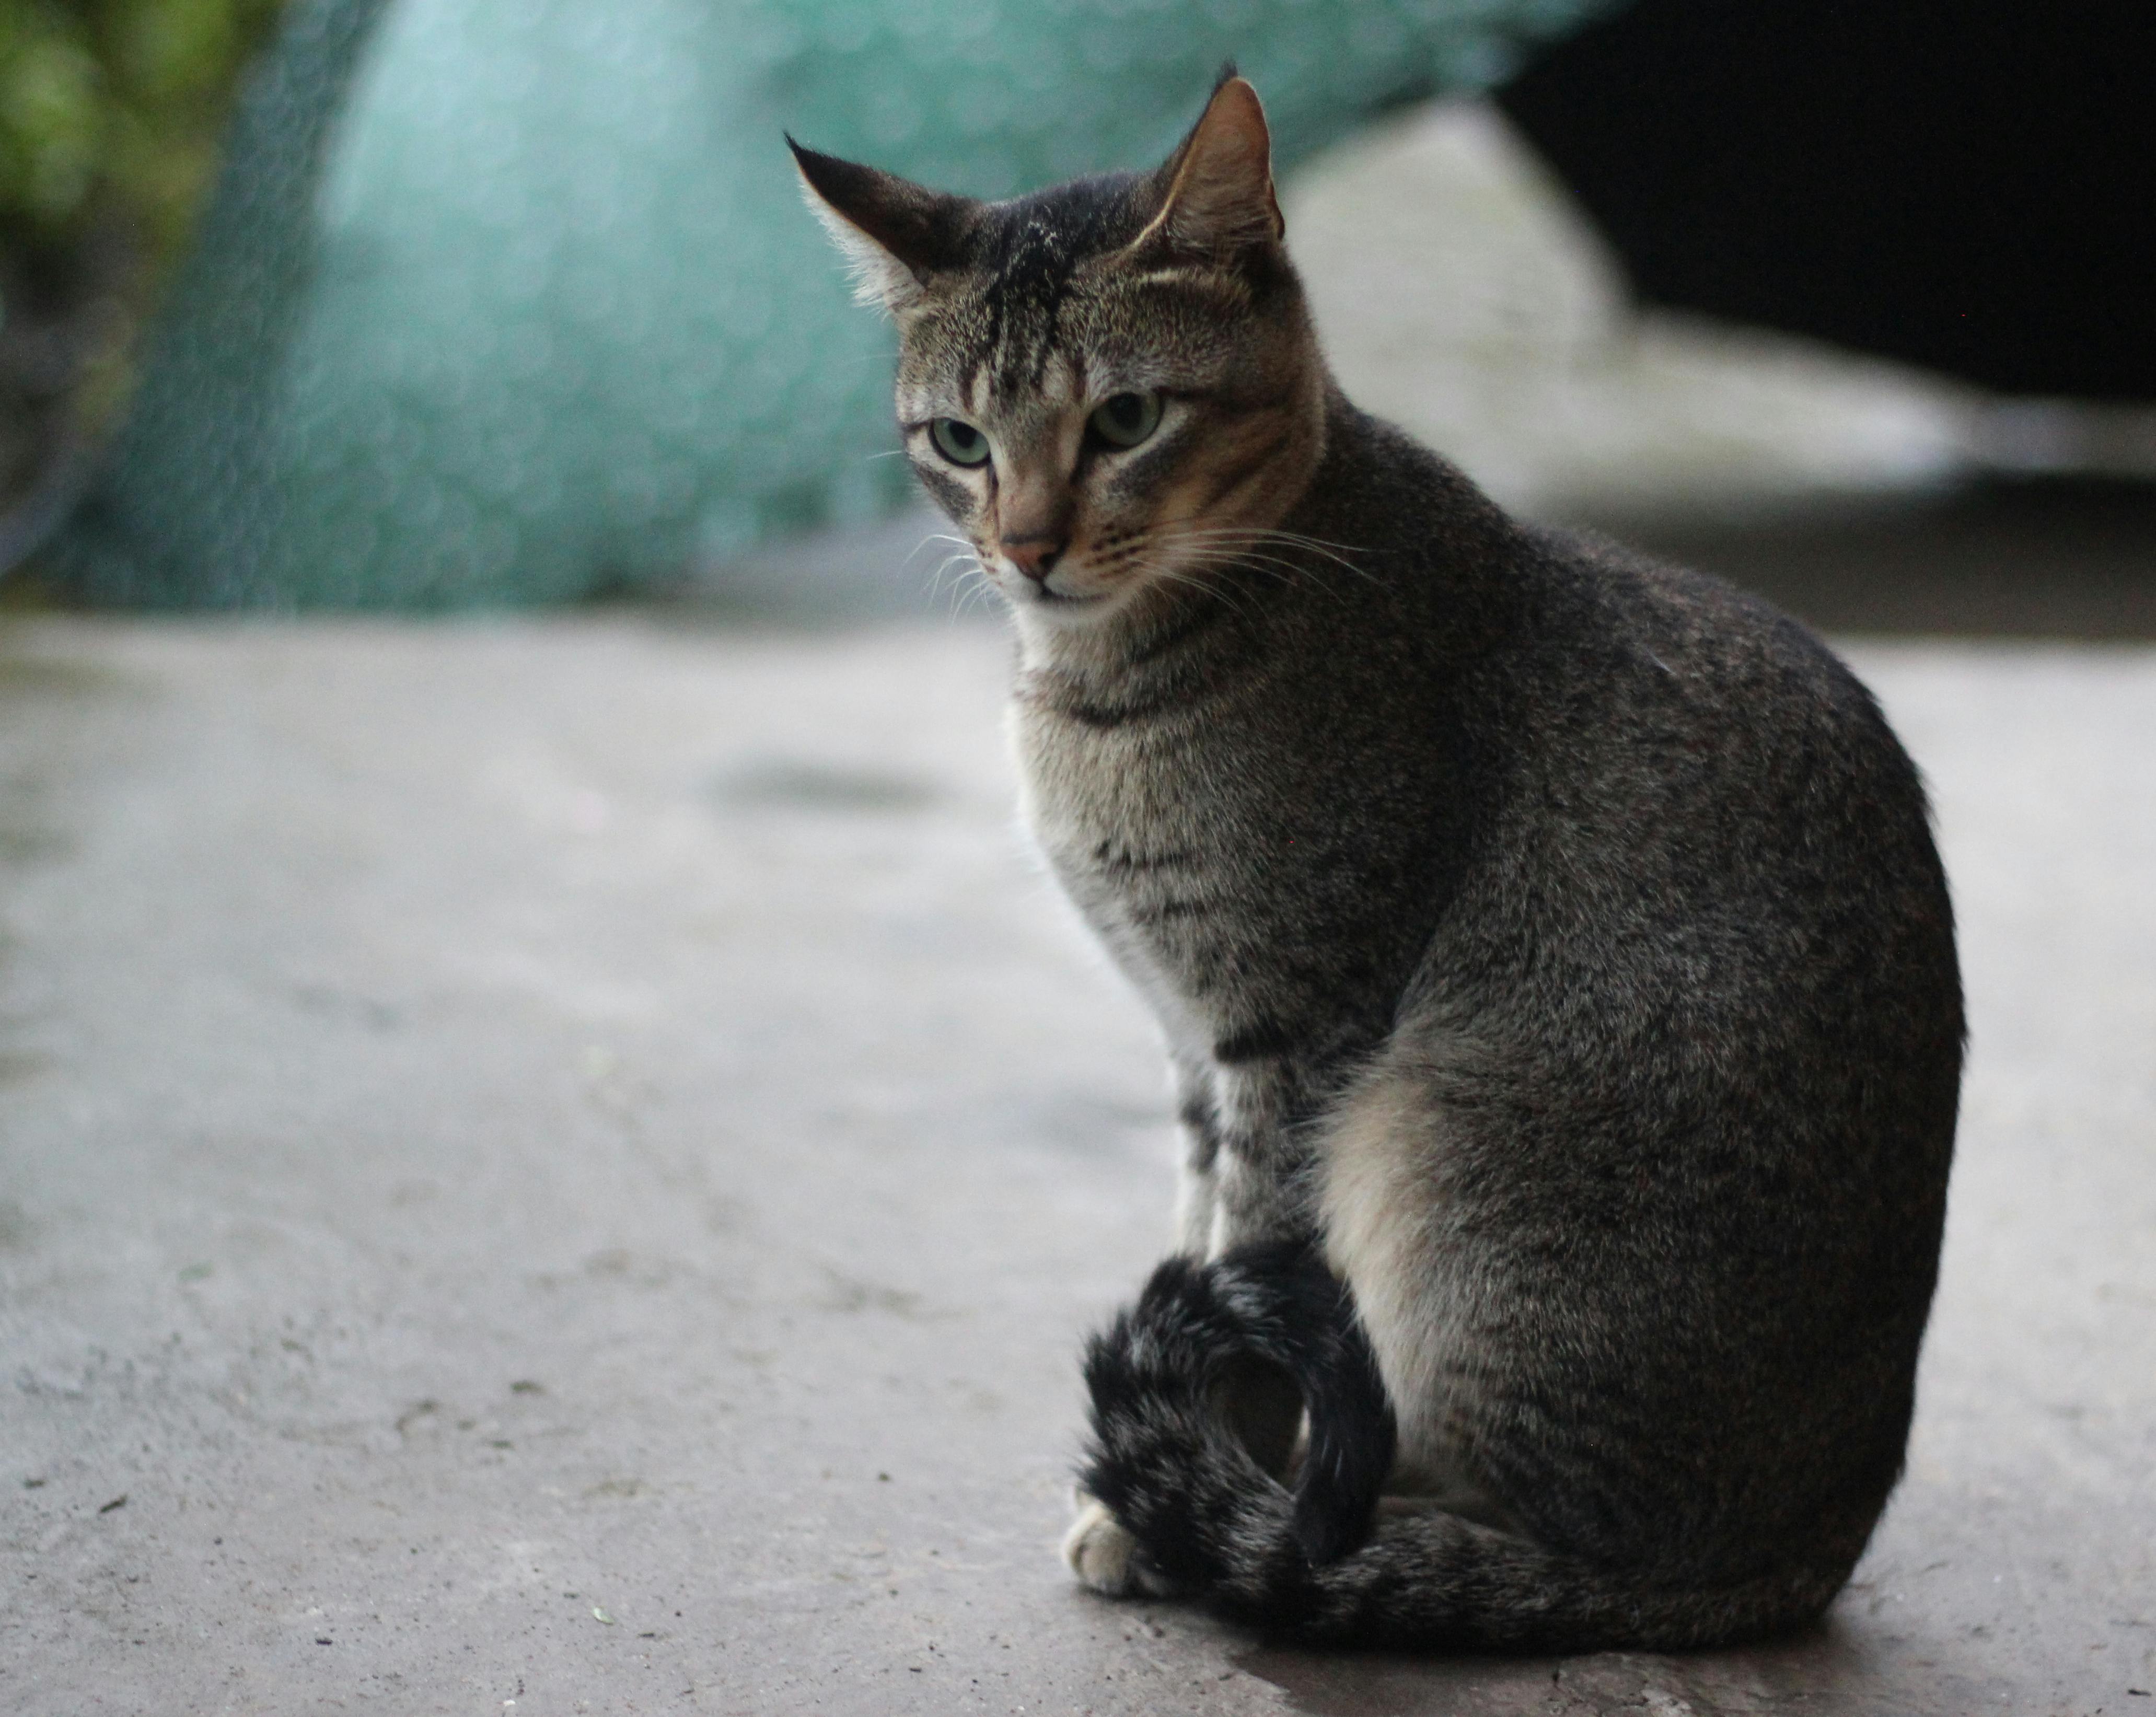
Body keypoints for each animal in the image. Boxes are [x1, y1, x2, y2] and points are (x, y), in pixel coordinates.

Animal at [797, 77, 1975, 1648]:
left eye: (1125, 417)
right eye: (960, 441)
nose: (1027, 547)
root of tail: (1809, 1547)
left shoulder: (1297, 1030)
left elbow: (1249, 1276)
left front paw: (1183, 1500)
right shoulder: (1195, 1042)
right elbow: (1201, 1233)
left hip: (1420, 1134)